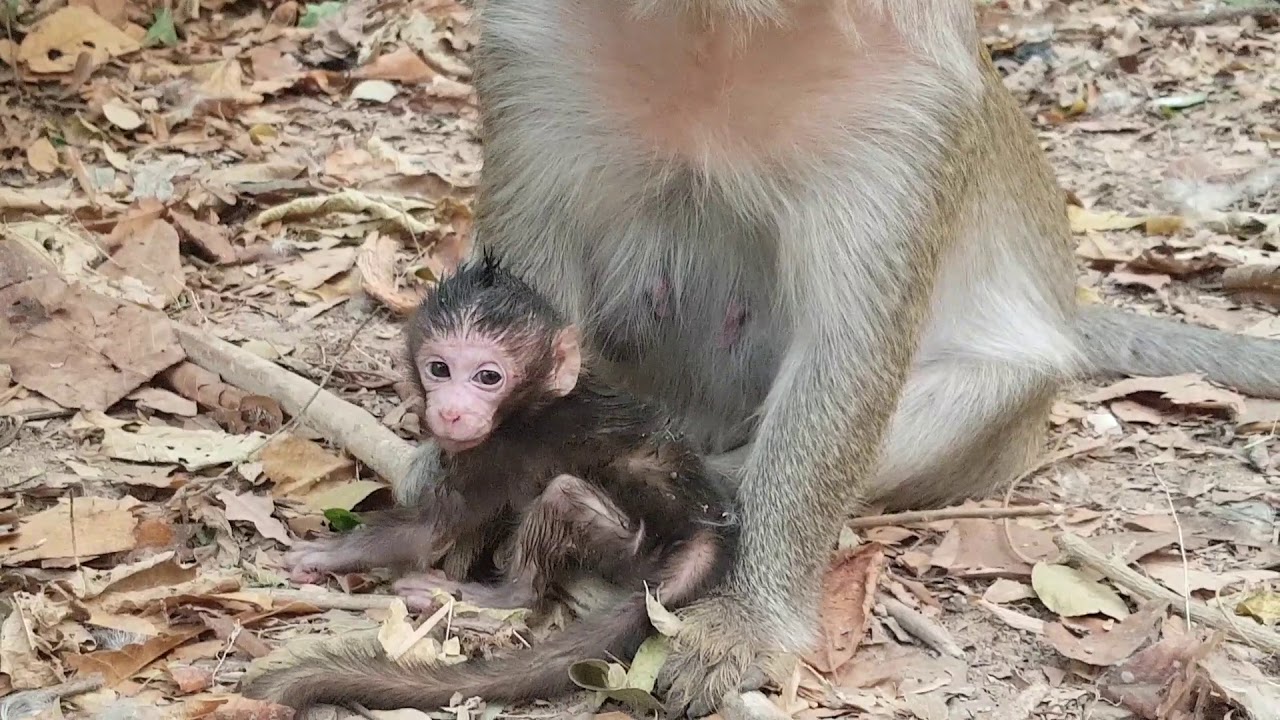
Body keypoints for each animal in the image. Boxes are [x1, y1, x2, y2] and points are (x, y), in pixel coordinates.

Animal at [241, 255, 740, 713]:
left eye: (488, 377)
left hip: (634, 548)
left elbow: (429, 531)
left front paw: (329, 554)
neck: (531, 404)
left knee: (560, 500)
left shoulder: (494, 455)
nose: (451, 412)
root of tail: (707, 522)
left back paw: (494, 596)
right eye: (439, 369)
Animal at [366, 1, 1280, 717]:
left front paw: (747, 619)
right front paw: (465, 478)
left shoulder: (910, 100)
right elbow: (530, 289)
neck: (718, 32)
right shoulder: (533, 52)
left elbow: (848, 351)